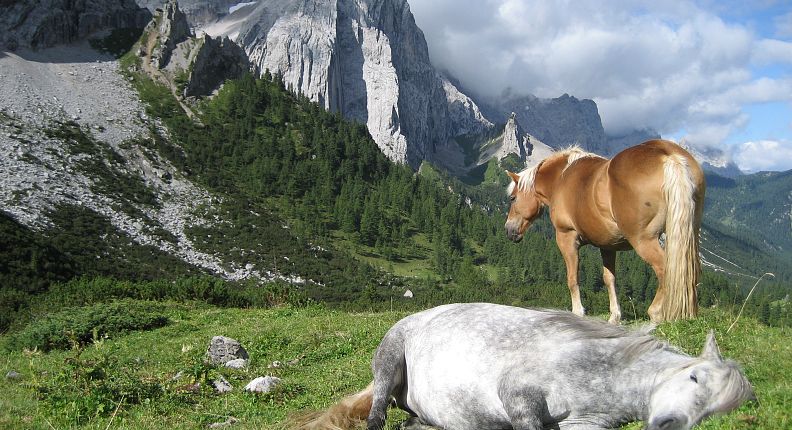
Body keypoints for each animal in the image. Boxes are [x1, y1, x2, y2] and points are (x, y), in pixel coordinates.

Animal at [291, 303, 755, 430]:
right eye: (693, 376)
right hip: (390, 360)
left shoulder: (585, 426)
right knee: (377, 409)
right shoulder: (517, 392)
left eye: (714, 413)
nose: (670, 424)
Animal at [504, 139, 705, 323]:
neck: (561, 177)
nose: (508, 230)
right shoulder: (607, 245)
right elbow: (609, 279)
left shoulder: (566, 237)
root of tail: (668, 155)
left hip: (644, 240)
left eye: (513, 198)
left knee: (665, 269)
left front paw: (578, 312)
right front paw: (615, 316)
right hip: (689, 235)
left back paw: (656, 313)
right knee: (689, 270)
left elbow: (573, 277)